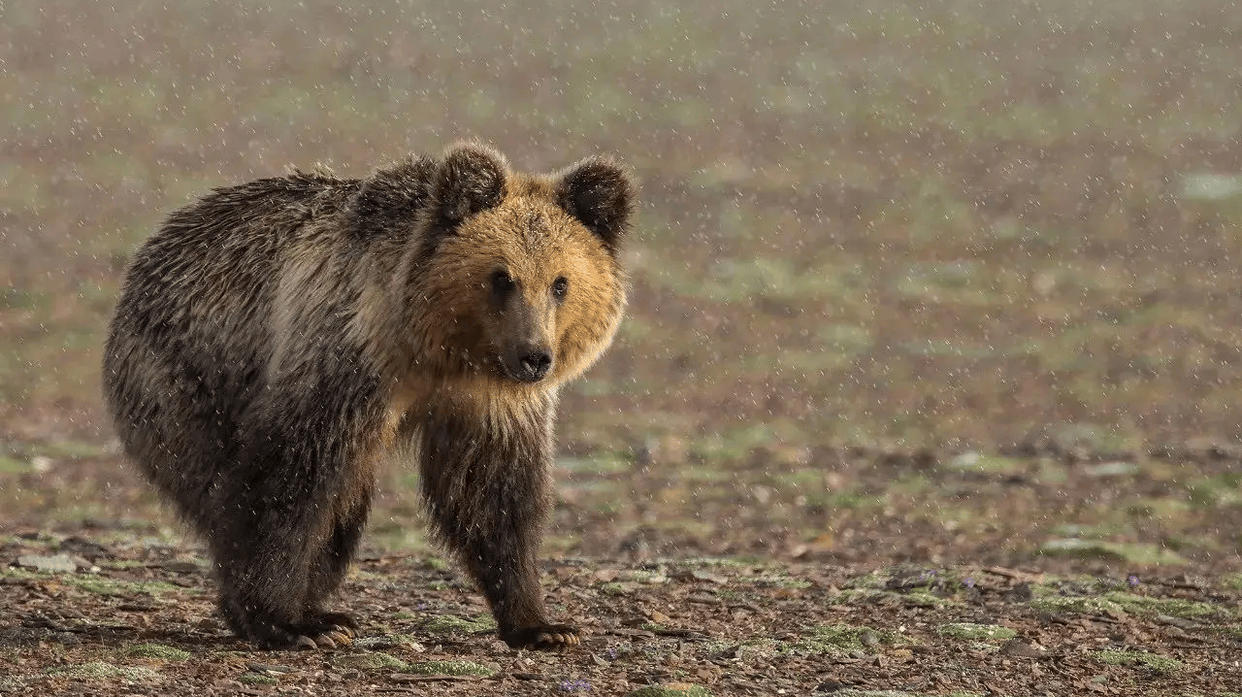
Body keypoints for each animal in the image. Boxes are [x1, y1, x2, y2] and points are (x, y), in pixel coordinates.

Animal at [101, 144, 635, 651]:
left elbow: (492, 493)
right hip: (186, 380)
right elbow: (290, 477)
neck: (435, 349)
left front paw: (542, 625)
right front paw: (286, 622)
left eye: (561, 282)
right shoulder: (348, 358)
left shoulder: (487, 401)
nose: (534, 357)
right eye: (501, 277)